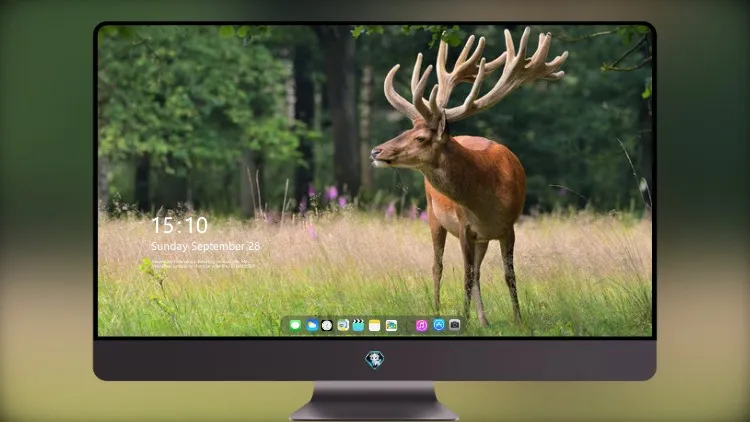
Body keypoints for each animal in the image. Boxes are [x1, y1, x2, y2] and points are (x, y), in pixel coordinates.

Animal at [370, 27, 568, 327]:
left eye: (420, 137)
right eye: (406, 129)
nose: (376, 151)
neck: (486, 200)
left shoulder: (508, 227)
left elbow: (508, 275)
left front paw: (518, 319)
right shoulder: (465, 226)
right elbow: (465, 275)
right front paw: (463, 319)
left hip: (480, 238)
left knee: (476, 271)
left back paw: (483, 320)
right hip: (433, 213)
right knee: (438, 265)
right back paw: (438, 310)